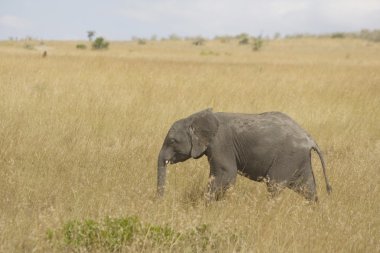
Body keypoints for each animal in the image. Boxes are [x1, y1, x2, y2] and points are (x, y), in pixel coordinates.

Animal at [156, 108, 332, 202]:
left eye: (172, 141)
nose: (161, 202)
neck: (195, 118)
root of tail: (310, 139)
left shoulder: (221, 143)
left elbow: (226, 175)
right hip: (299, 159)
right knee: (308, 188)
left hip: (288, 157)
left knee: (274, 186)